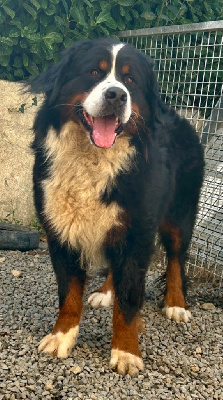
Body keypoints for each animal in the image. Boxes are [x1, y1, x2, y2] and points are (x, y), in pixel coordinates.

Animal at [27, 36, 204, 376]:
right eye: (94, 73)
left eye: (130, 80)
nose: (117, 95)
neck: (93, 159)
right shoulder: (61, 232)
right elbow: (69, 295)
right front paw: (62, 337)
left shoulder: (137, 232)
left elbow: (130, 298)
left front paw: (125, 352)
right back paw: (105, 293)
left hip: (179, 215)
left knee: (176, 258)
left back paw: (176, 304)